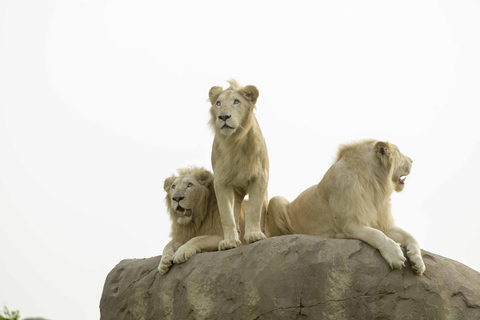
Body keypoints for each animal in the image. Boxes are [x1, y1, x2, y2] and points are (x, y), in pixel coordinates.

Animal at [209, 79, 270, 250]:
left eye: (236, 102)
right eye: (218, 103)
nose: (223, 116)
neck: (234, 142)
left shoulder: (260, 177)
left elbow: (254, 209)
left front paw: (254, 235)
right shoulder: (220, 181)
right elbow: (226, 215)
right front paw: (229, 241)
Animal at [268, 138, 426, 276]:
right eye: (399, 152)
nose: (412, 161)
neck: (375, 185)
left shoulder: (383, 224)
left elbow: (410, 236)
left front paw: (418, 262)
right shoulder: (349, 224)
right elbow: (375, 234)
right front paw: (395, 254)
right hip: (276, 200)